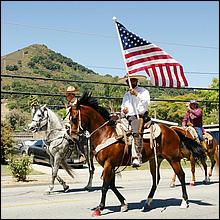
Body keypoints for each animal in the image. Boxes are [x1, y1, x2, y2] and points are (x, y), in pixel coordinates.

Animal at [70, 92, 206, 215]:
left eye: (74, 118)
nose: (72, 136)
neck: (105, 134)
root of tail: (172, 130)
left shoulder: (109, 164)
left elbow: (105, 186)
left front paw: (99, 208)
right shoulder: (110, 165)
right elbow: (112, 185)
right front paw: (124, 204)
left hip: (173, 159)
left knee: (181, 175)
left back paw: (184, 202)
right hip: (156, 159)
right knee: (156, 179)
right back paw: (148, 202)